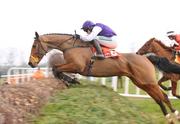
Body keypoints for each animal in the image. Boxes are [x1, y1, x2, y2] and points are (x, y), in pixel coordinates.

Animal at [28, 32, 180, 123]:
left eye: (34, 45)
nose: (30, 63)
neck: (71, 46)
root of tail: (146, 57)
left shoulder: (77, 66)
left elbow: (56, 69)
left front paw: (71, 80)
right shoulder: (73, 66)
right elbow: (56, 69)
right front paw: (71, 80)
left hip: (147, 81)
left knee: (163, 96)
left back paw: (174, 114)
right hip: (140, 82)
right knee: (158, 98)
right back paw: (169, 116)